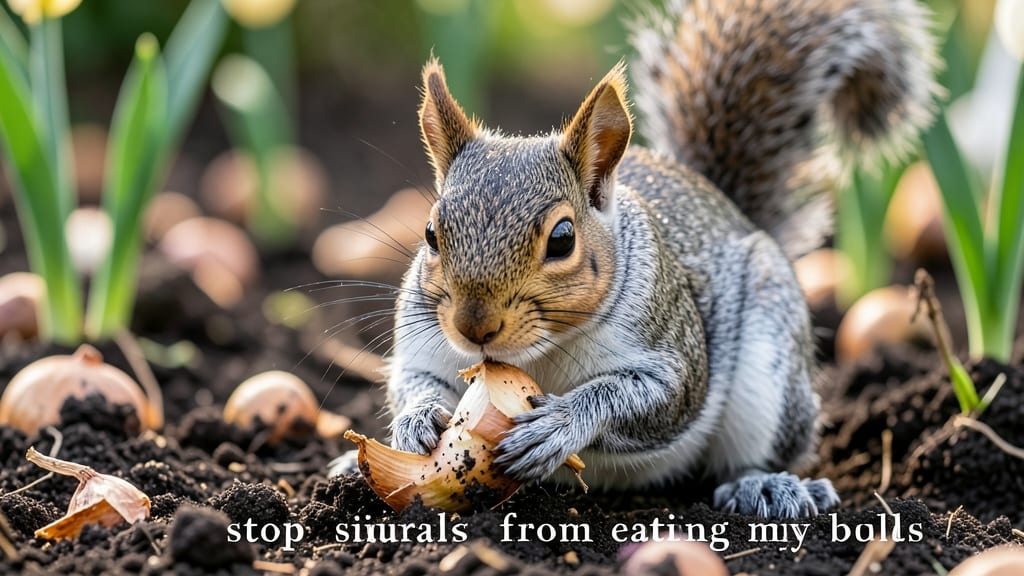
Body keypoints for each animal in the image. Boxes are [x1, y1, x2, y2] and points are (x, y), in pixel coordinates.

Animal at [378, 0, 938, 518]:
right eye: (430, 233)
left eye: (562, 239)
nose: (474, 326)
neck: (540, 352)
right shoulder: (425, 343)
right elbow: (414, 381)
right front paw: (416, 420)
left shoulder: (671, 350)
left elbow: (643, 397)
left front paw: (561, 424)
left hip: (770, 367)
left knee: (756, 451)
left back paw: (763, 485)